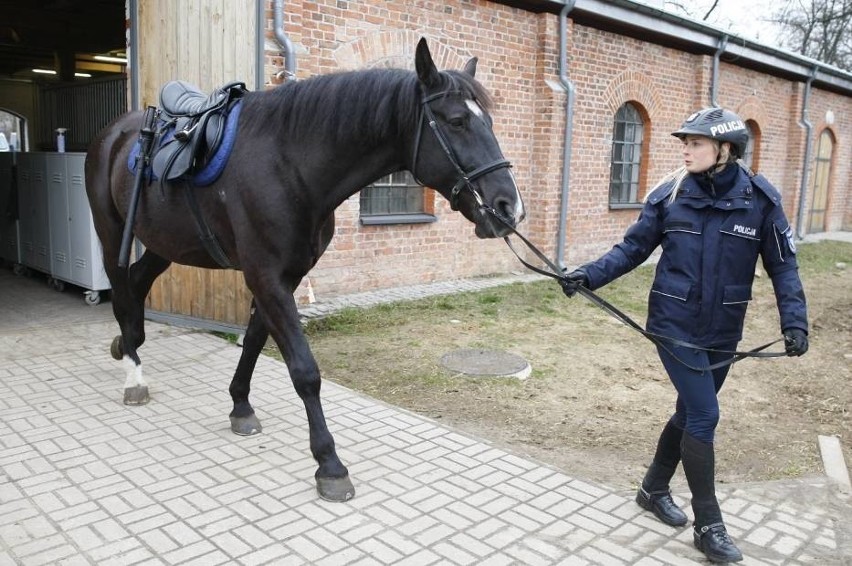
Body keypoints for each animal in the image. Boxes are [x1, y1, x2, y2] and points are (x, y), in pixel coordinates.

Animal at [86, 38, 524, 502]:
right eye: (457, 121)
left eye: (488, 121)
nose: (508, 207)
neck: (289, 164)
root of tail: (114, 133)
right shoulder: (265, 276)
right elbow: (304, 370)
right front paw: (329, 464)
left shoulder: (286, 277)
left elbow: (254, 342)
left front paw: (240, 405)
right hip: (111, 232)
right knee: (121, 290)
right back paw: (133, 375)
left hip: (166, 241)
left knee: (137, 283)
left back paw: (125, 344)